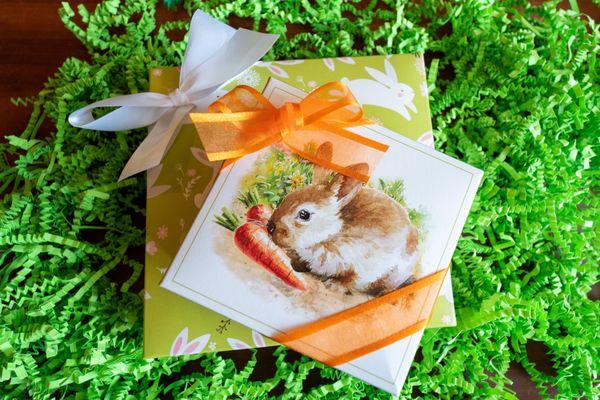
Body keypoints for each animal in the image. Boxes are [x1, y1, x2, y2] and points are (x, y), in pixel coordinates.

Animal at [270, 142, 420, 296]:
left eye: (304, 214)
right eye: (287, 197)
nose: (270, 227)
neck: (332, 233)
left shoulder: (364, 267)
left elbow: (351, 280)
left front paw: (333, 285)